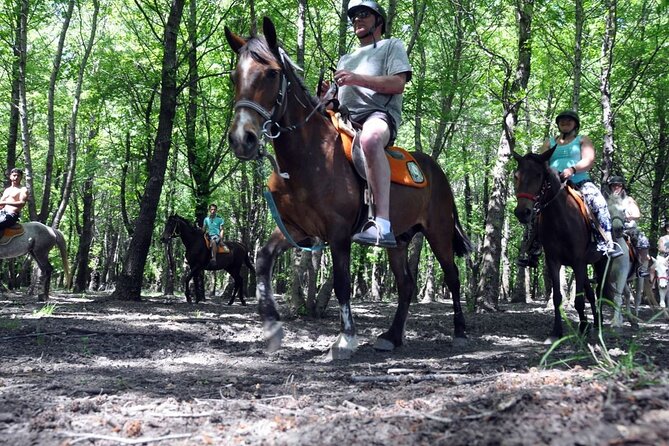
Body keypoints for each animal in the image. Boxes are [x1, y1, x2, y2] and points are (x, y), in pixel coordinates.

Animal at [224, 17, 472, 359]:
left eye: (272, 73)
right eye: (235, 76)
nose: (241, 139)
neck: (309, 157)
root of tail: (437, 171)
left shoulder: (339, 233)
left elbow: (341, 282)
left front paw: (345, 339)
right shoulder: (296, 229)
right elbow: (262, 261)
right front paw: (273, 329)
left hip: (438, 231)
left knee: (452, 276)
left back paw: (460, 332)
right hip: (399, 241)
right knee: (406, 284)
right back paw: (392, 336)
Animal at [512, 147, 606, 343]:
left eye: (539, 174)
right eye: (516, 176)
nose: (522, 212)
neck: (561, 219)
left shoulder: (578, 261)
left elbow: (578, 300)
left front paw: (582, 328)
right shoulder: (553, 261)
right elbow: (557, 297)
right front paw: (556, 332)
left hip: (600, 262)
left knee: (599, 292)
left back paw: (598, 324)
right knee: (591, 294)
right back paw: (593, 324)